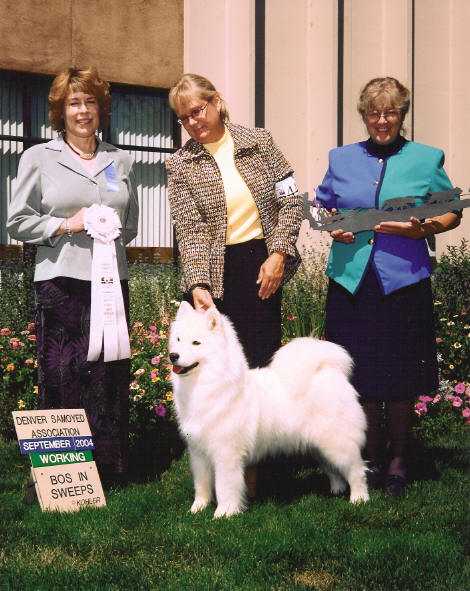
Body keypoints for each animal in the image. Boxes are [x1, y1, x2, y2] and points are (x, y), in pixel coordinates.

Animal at [169, 300, 370, 520]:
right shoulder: (198, 452)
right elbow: (202, 485)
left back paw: (359, 499)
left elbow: (224, 487)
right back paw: (336, 489)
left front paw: (224, 513)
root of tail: (330, 370)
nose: (173, 356)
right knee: (333, 469)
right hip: (318, 445)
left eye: (196, 343)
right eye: (178, 339)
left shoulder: (226, 453)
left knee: (357, 470)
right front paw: (197, 508)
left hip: (337, 442)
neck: (207, 384)